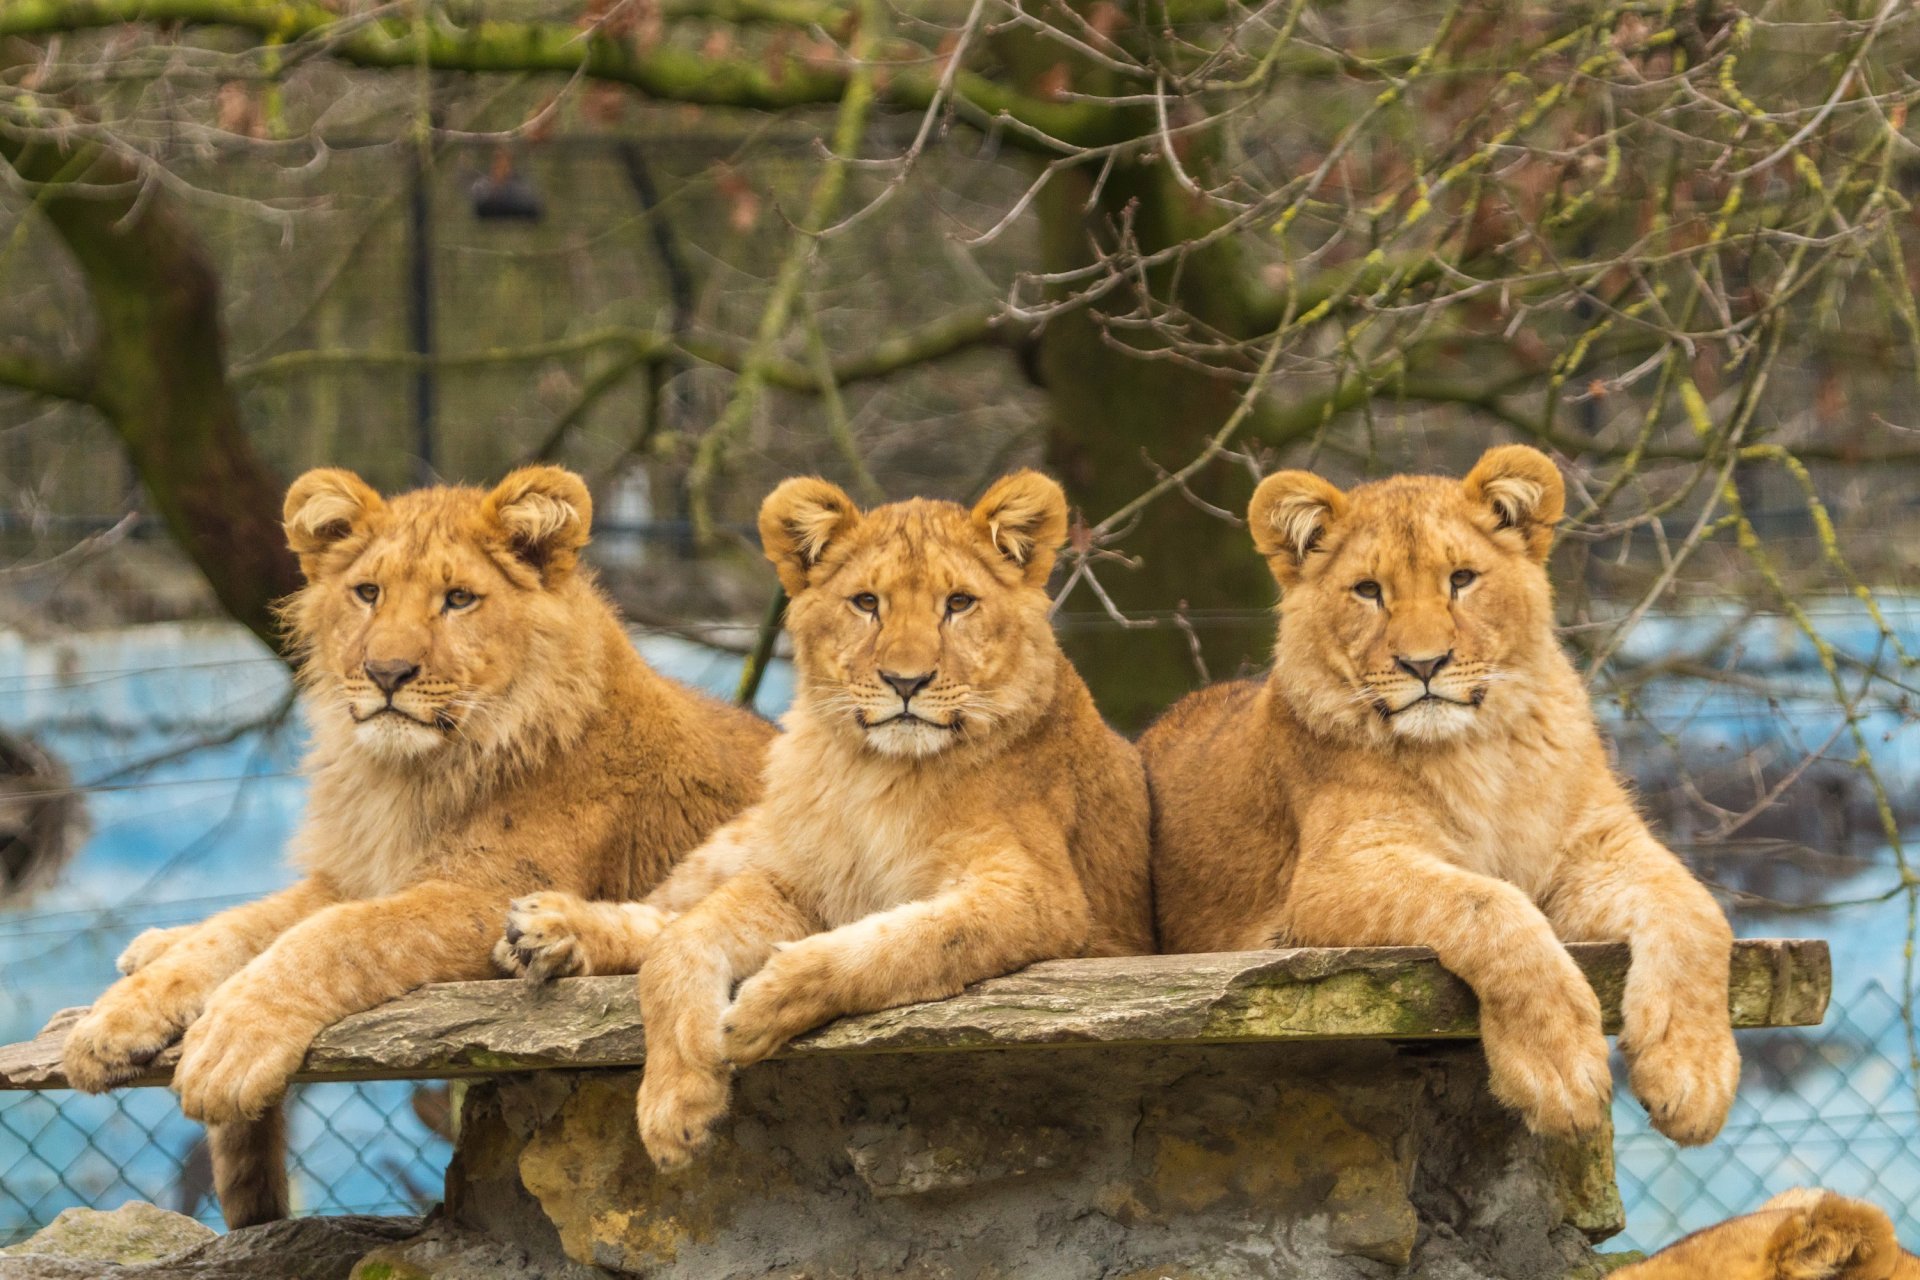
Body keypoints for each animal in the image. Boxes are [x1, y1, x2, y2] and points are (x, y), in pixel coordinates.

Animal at [59, 465, 772, 1226]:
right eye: (368, 593)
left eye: (458, 599)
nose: (387, 672)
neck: (407, 776)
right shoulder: (353, 876)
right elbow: (241, 926)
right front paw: (115, 1018)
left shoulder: (487, 897)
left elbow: (334, 937)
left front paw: (230, 1042)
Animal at [493, 471, 1154, 1169]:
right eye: (866, 602)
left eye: (959, 603)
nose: (906, 682)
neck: (879, 776)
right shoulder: (794, 883)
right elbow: (678, 945)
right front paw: (676, 1104)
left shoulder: (1041, 896)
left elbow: (906, 941)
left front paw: (765, 1004)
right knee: (666, 911)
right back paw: (543, 931)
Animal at [1140, 445, 1739, 1145]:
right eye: (1369, 591)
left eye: (1462, 579)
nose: (1423, 664)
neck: (1476, 751)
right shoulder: (1334, 874)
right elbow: (1490, 907)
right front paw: (1558, 1072)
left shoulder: (1595, 848)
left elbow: (1697, 910)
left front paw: (1693, 1075)